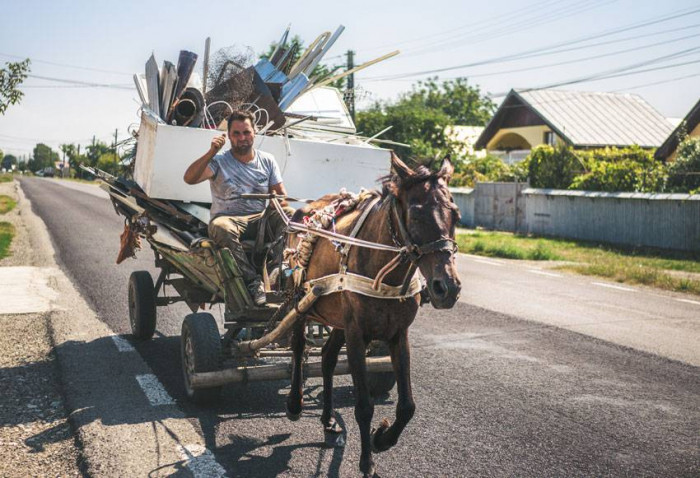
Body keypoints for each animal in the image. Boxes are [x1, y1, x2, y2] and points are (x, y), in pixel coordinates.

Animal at [282, 151, 462, 476]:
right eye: (416, 215)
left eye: (455, 215)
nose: (448, 288)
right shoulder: (356, 333)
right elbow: (364, 406)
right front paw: (367, 461)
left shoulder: (398, 334)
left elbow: (407, 406)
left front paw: (382, 439)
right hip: (300, 299)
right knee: (299, 346)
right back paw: (295, 403)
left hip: (337, 317)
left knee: (327, 358)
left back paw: (327, 418)